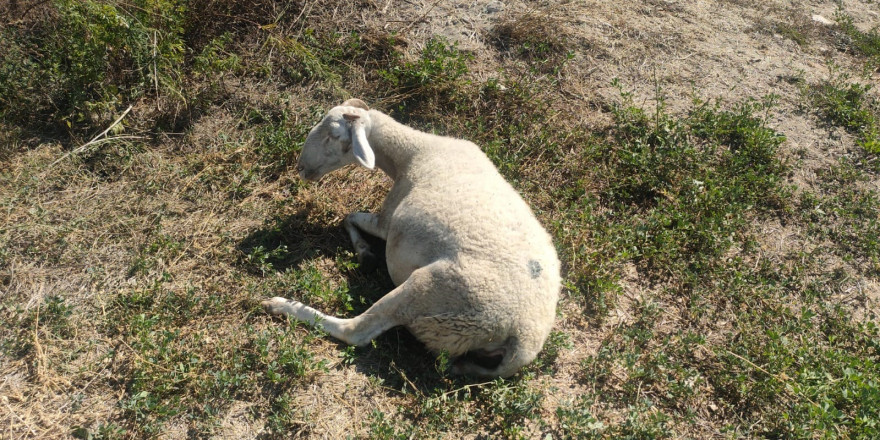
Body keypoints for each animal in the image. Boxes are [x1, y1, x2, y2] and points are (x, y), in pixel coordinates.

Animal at [262, 99, 560, 378]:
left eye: (332, 135)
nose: (301, 168)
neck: (413, 151)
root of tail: (520, 341)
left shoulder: (388, 222)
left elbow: (348, 216)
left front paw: (364, 253)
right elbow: (348, 217)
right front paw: (366, 253)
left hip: (430, 293)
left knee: (357, 331)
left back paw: (282, 305)